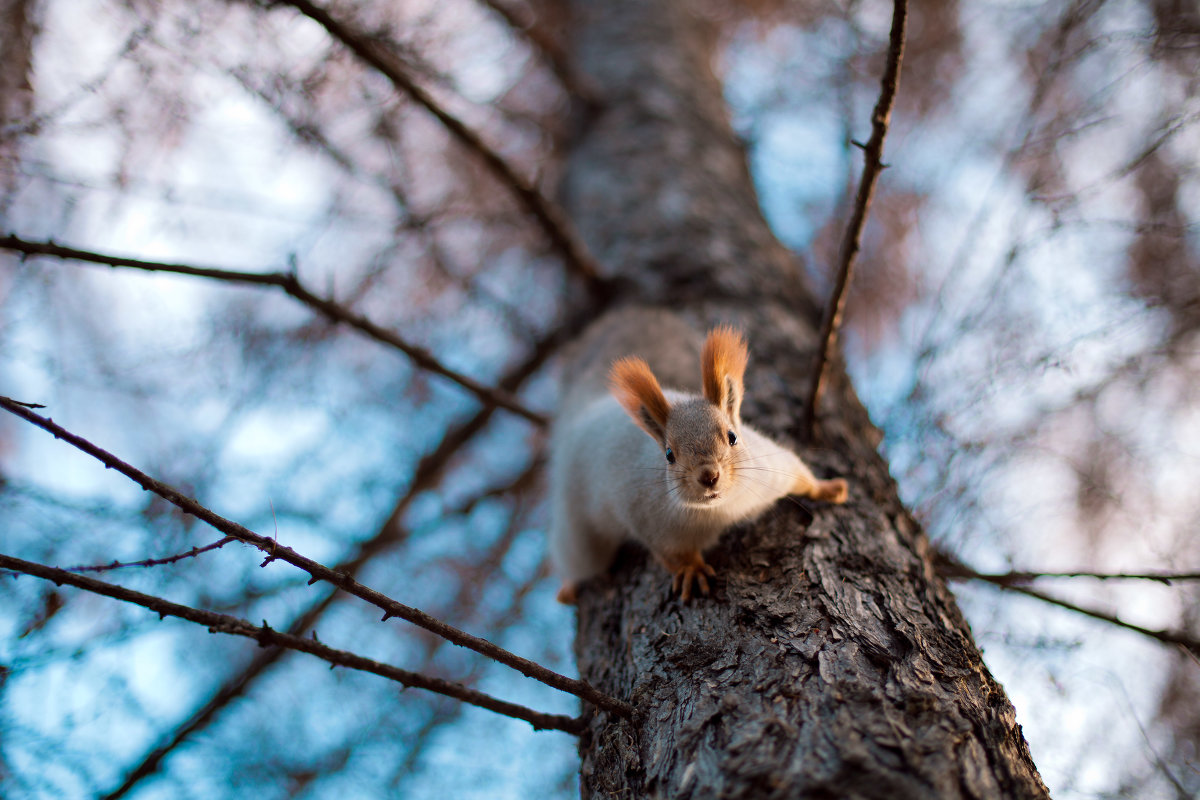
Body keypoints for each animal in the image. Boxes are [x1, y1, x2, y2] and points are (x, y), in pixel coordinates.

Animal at [549, 309, 849, 604]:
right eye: (669, 454)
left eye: (732, 437)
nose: (708, 476)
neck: (722, 510)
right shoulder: (651, 520)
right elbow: (672, 554)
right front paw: (691, 570)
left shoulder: (771, 468)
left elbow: (799, 473)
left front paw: (827, 488)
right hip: (580, 534)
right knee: (580, 562)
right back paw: (568, 587)